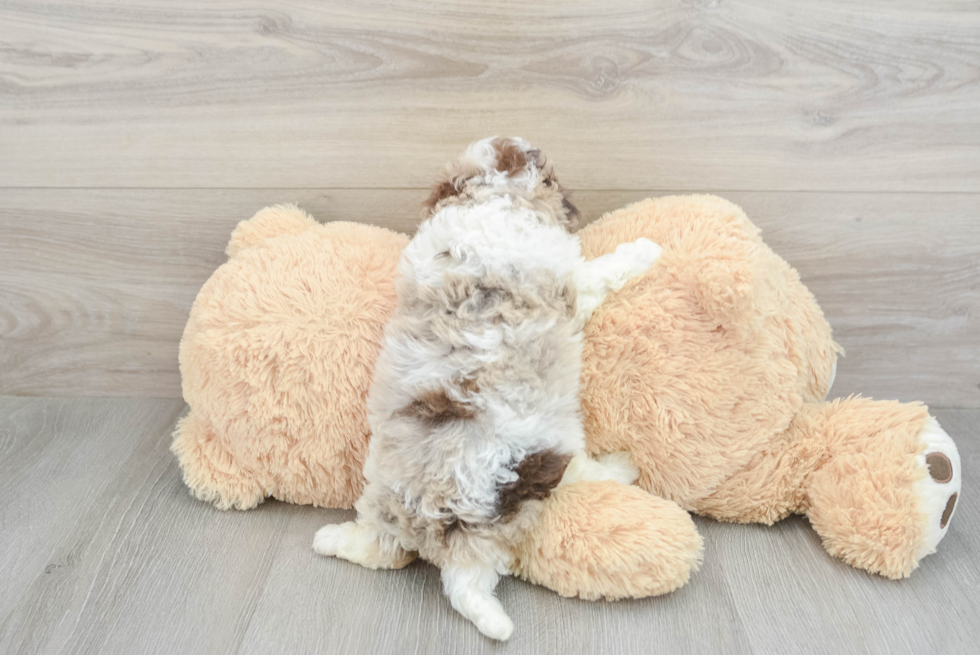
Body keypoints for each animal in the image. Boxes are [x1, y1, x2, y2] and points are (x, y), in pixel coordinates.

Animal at [318, 138, 664, 640]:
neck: (491, 196)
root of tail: (429, 511)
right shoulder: (573, 282)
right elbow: (602, 271)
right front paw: (645, 250)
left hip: (382, 497)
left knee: (379, 549)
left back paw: (328, 539)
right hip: (532, 467)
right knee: (476, 577)